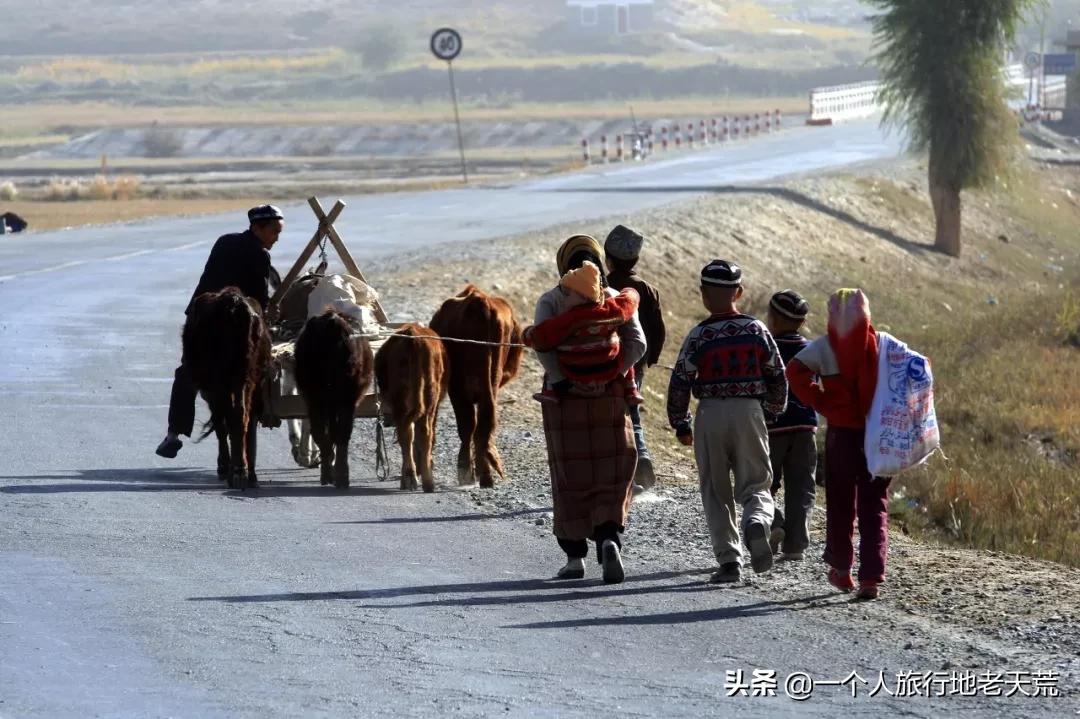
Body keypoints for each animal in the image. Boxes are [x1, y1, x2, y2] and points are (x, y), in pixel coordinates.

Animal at [183, 285, 272, 487]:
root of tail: (233, 303)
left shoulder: (211, 389)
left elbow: (220, 425)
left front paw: (224, 465)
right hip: (247, 378)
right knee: (243, 416)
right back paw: (245, 472)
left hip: (222, 381)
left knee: (230, 418)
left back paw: (235, 472)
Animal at [293, 308, 373, 487]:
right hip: (344, 398)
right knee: (339, 433)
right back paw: (340, 476)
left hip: (317, 398)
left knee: (323, 432)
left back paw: (329, 473)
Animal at [375, 321, 447, 490]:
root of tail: (413, 337)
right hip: (429, 398)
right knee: (423, 433)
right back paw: (426, 481)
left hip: (402, 400)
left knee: (407, 434)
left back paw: (409, 477)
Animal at [427, 285, 520, 487]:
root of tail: (479, 301)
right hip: (485, 381)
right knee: (482, 421)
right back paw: (483, 474)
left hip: (460, 385)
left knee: (470, 424)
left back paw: (470, 472)